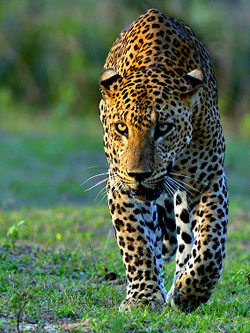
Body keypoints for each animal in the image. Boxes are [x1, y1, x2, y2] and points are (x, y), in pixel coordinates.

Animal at [98, 9, 229, 312]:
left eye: (164, 128)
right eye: (121, 128)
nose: (138, 174)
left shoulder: (209, 180)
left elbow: (210, 243)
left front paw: (189, 292)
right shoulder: (120, 186)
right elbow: (136, 242)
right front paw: (143, 297)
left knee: (187, 238)